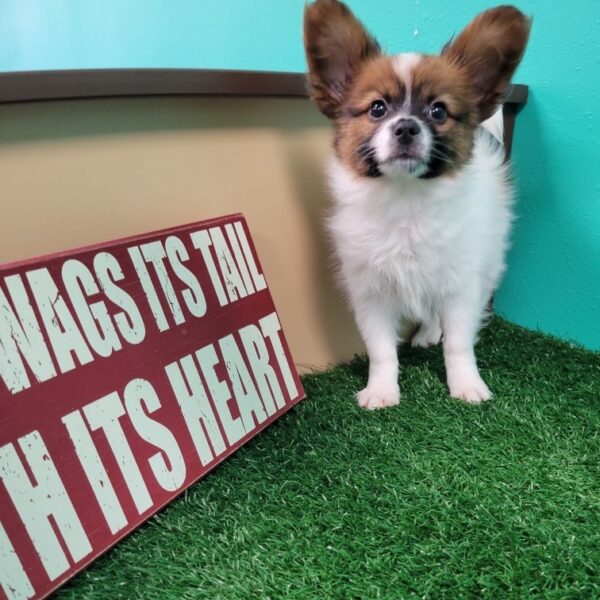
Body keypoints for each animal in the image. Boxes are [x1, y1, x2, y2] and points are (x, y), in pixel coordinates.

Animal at [304, 0, 528, 408]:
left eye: (438, 111)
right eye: (377, 108)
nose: (406, 127)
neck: (405, 199)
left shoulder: (461, 285)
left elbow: (458, 343)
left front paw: (466, 384)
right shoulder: (370, 292)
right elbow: (381, 350)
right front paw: (382, 390)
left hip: (487, 262)